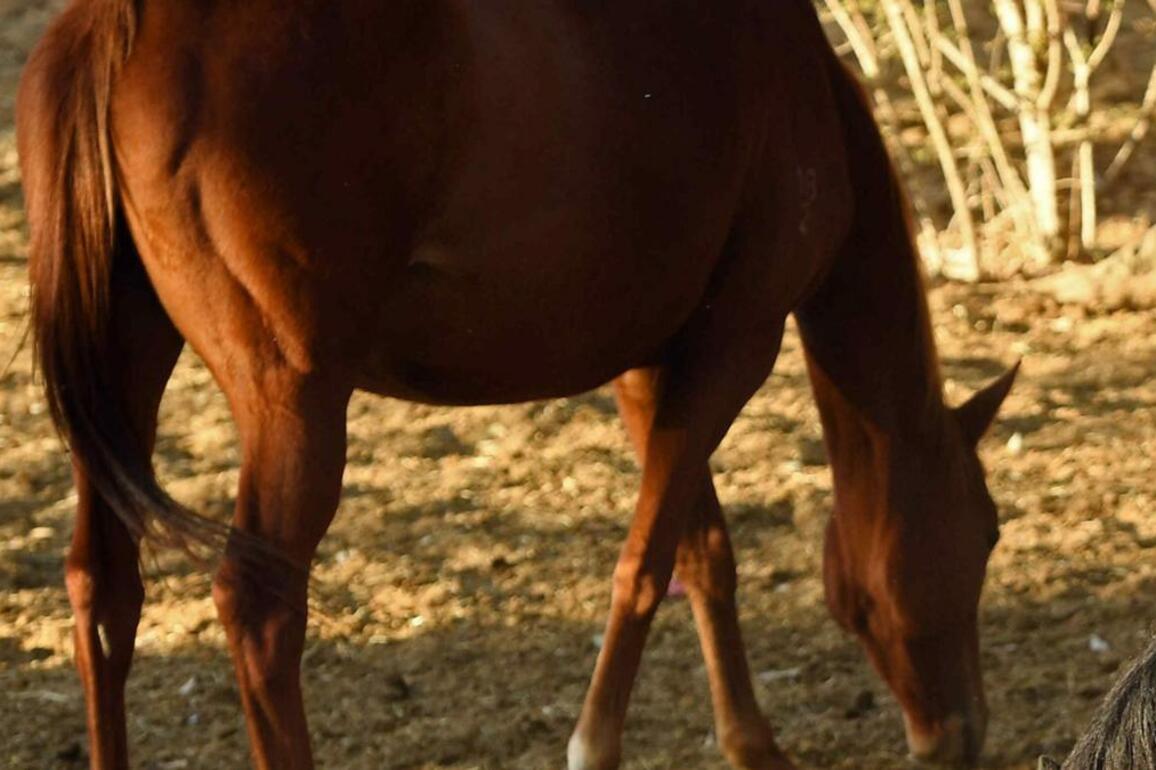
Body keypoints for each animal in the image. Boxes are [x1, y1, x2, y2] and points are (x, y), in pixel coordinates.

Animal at [17, 0, 1017, 768]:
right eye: (989, 532)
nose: (964, 732)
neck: (799, 89)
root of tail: (118, 23)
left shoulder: (648, 369)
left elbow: (700, 549)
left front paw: (751, 746)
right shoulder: (735, 347)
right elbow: (645, 566)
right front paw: (599, 743)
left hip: (123, 379)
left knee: (102, 588)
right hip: (293, 406)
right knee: (258, 611)